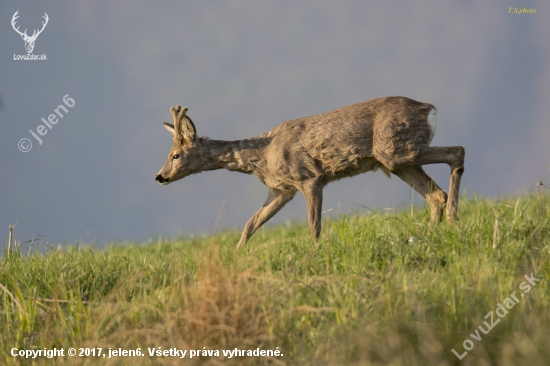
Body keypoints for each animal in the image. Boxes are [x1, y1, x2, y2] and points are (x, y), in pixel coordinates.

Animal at [155, 96, 466, 249]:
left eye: (175, 155)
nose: (159, 176)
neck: (262, 155)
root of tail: (429, 109)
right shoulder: (281, 190)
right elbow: (250, 224)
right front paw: (237, 255)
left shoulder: (309, 177)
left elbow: (313, 224)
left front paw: (316, 252)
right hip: (396, 161)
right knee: (435, 195)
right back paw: (429, 233)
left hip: (395, 151)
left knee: (458, 152)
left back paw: (453, 218)